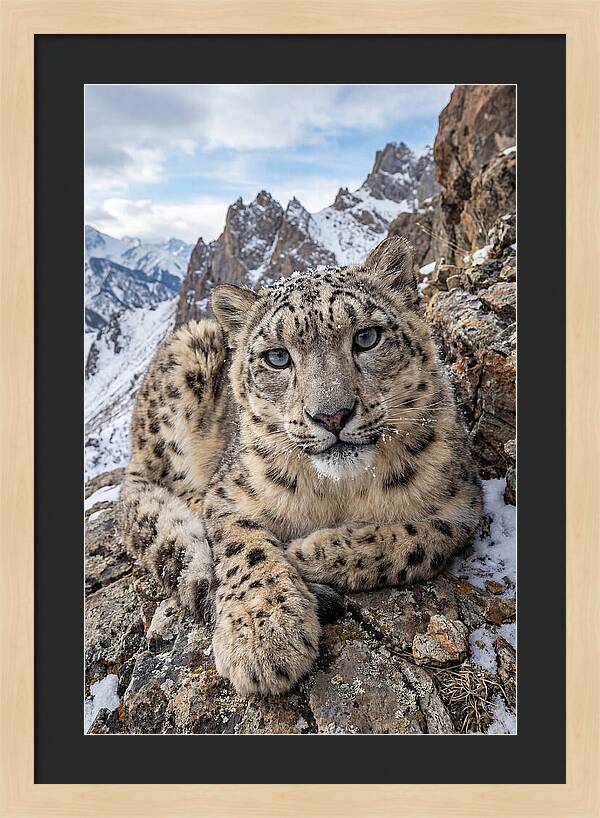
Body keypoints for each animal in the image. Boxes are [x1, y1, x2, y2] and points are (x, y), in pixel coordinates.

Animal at [117, 235, 484, 697]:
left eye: (366, 337)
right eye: (277, 357)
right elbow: (245, 547)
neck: (340, 491)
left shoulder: (462, 503)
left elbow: (418, 540)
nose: (331, 415)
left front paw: (307, 552)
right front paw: (264, 636)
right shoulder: (227, 494)